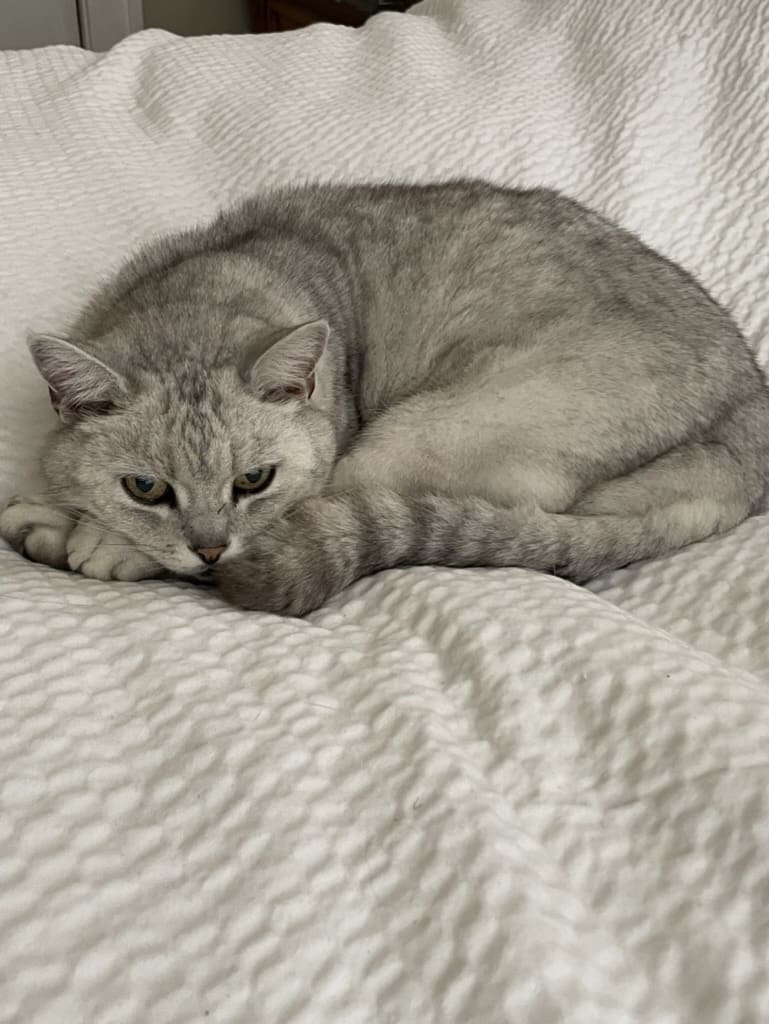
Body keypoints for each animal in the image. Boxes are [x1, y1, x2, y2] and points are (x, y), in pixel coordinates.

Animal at [1, 181, 769, 614]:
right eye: (146, 487)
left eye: (254, 480)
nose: (210, 548)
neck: (207, 288)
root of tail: (746, 411)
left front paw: (97, 538)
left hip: (420, 433)